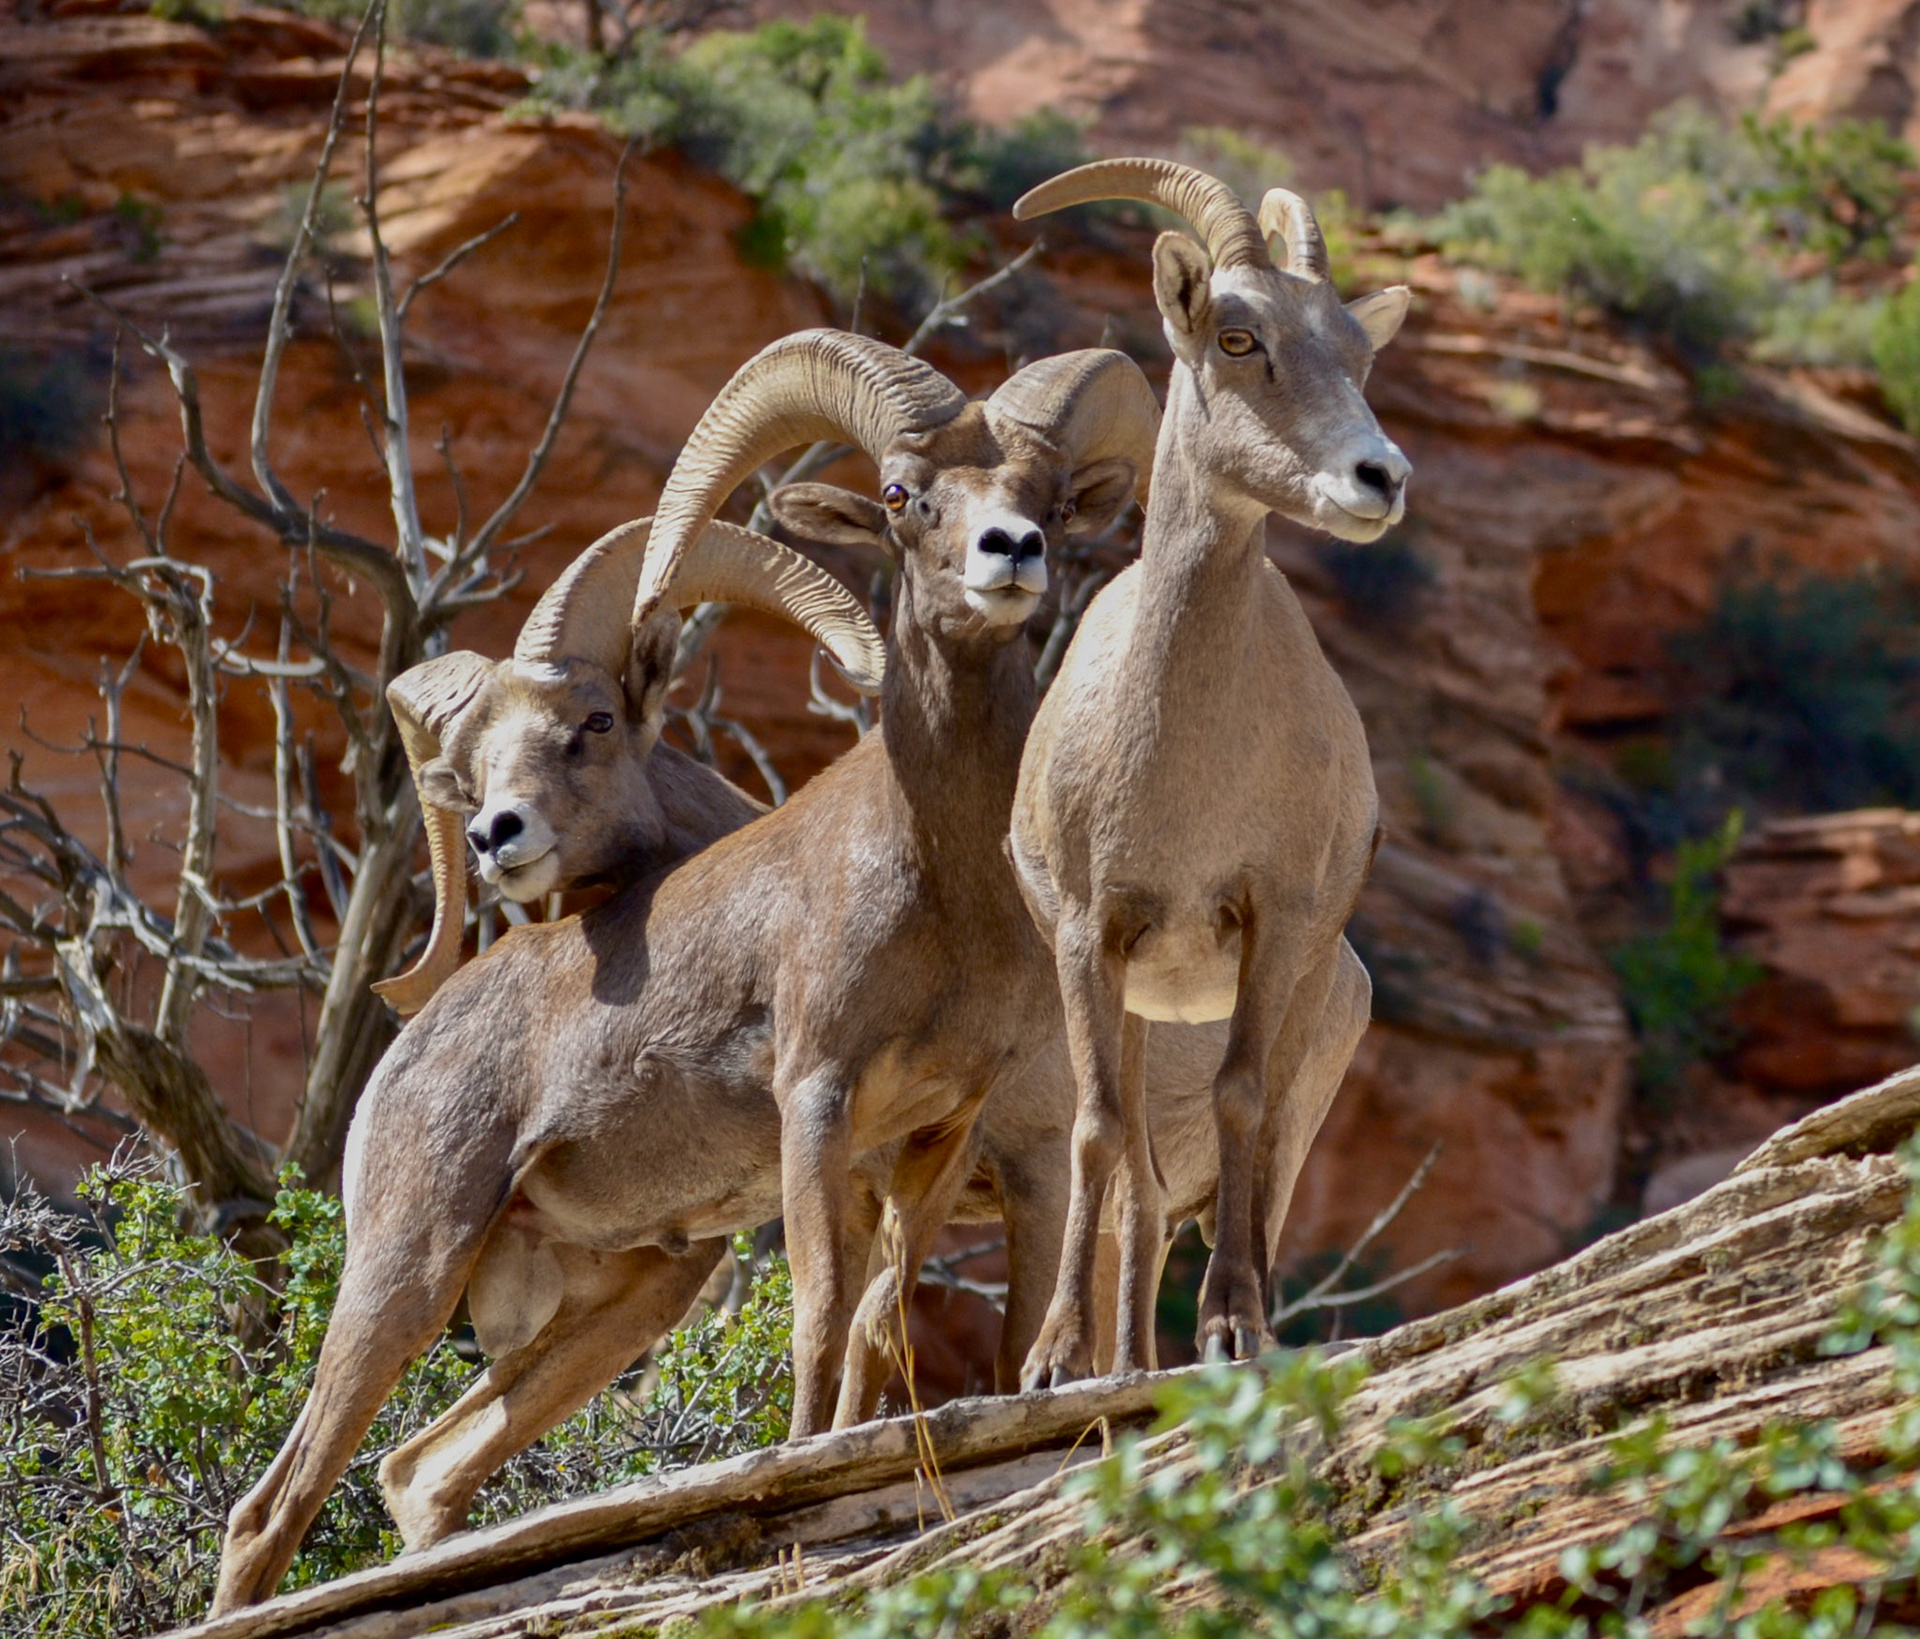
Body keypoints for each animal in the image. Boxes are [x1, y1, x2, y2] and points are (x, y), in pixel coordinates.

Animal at [210, 333, 1157, 1614]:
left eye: (1051, 501)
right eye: (903, 497)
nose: (1012, 552)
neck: (943, 875)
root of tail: (405, 1052)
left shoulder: (936, 1131)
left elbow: (880, 1323)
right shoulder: (817, 1099)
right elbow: (824, 1314)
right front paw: (803, 1476)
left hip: (629, 1292)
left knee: (423, 1473)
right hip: (407, 1269)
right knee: (271, 1513)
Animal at [1006, 159, 1411, 1386]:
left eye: (1357, 353)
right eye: (1239, 337)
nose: (1382, 477)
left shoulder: (1269, 925)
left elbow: (1239, 1105)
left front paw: (1231, 1327)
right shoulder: (1091, 936)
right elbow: (1097, 1131)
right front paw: (1056, 1360)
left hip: (1304, 1009)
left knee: (1266, 1154)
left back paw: (1240, 1325)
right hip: (1143, 1004)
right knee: (1137, 1181)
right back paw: (1128, 1359)